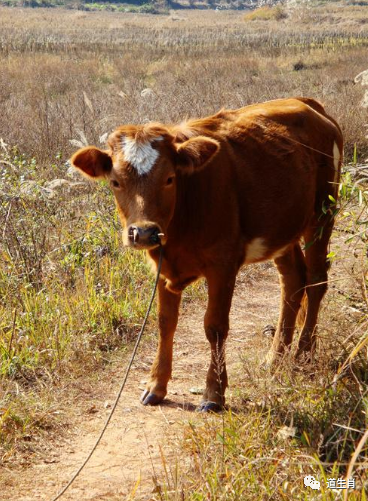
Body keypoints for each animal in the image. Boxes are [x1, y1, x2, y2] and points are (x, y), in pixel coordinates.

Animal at [71, 97, 342, 410]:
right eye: (115, 182)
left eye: (169, 178)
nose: (145, 232)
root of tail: (307, 103)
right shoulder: (162, 268)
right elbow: (165, 323)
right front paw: (156, 385)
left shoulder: (223, 264)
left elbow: (215, 326)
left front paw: (214, 393)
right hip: (283, 230)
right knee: (293, 281)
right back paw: (275, 359)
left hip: (322, 213)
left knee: (317, 280)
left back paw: (305, 355)